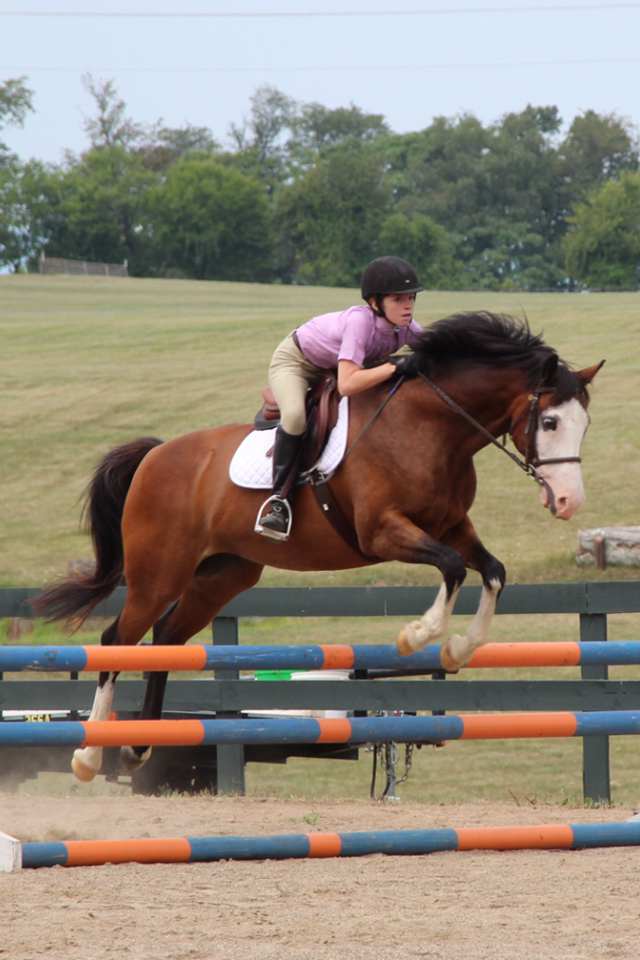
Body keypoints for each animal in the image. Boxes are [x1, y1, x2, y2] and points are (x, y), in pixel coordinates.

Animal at [34, 311, 603, 783]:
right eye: (549, 421)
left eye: (584, 424)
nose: (569, 502)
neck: (431, 427)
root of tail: (155, 456)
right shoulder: (383, 532)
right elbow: (452, 568)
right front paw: (416, 635)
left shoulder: (452, 525)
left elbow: (491, 571)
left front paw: (459, 649)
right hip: (159, 573)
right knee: (117, 639)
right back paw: (89, 754)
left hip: (223, 574)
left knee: (167, 639)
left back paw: (139, 748)